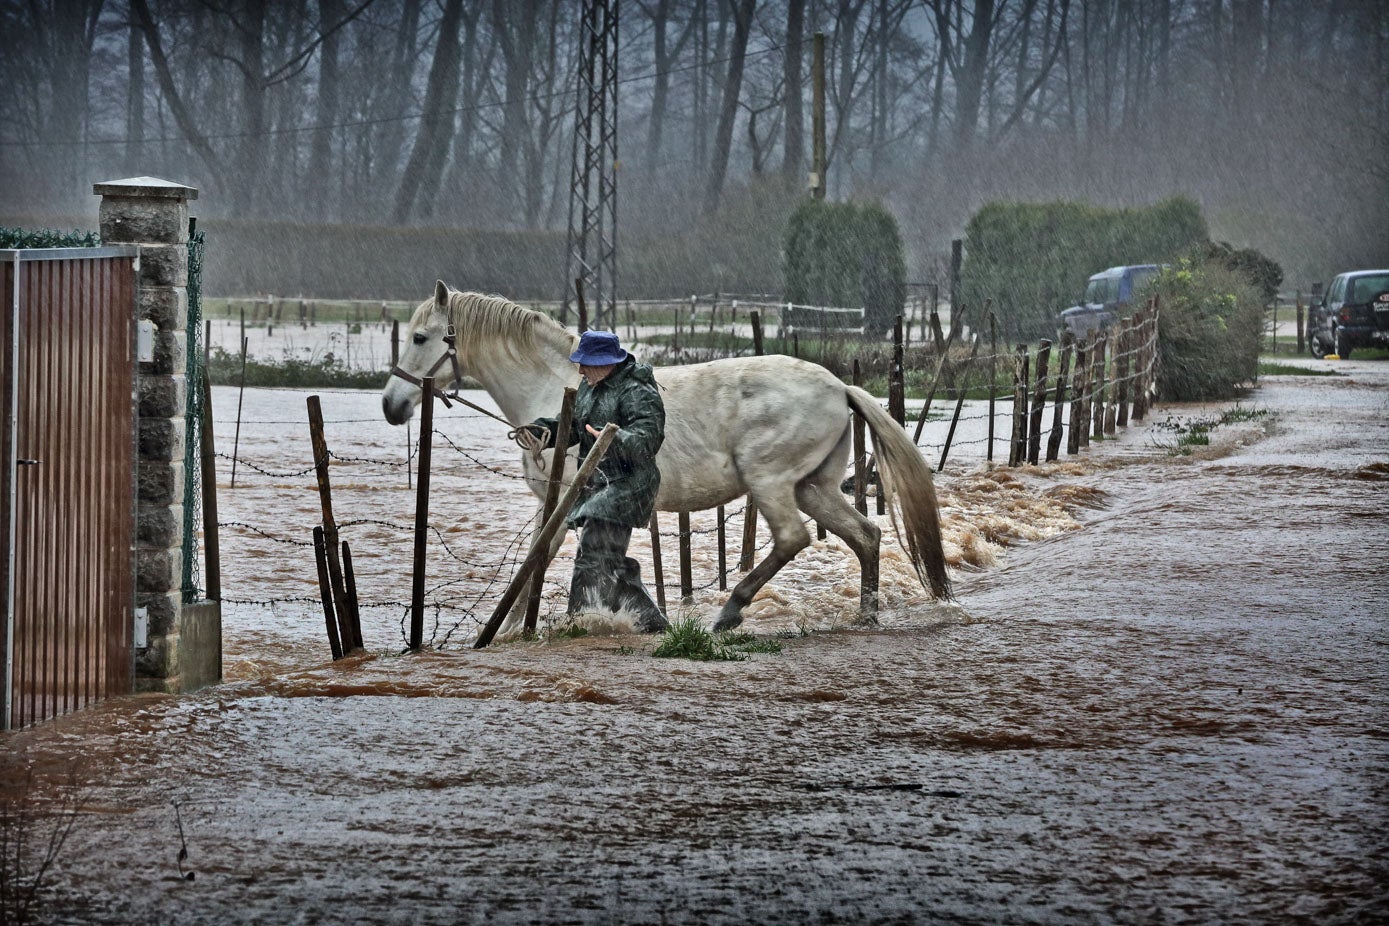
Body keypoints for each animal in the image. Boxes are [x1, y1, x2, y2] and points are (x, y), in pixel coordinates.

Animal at [380, 284, 950, 638]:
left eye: (421, 338)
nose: (391, 406)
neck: (558, 389)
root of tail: (839, 386)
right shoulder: (562, 504)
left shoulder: (567, 503)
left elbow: (537, 563)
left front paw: (505, 628)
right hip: (813, 487)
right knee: (865, 536)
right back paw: (866, 618)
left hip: (770, 482)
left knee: (794, 538)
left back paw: (730, 612)